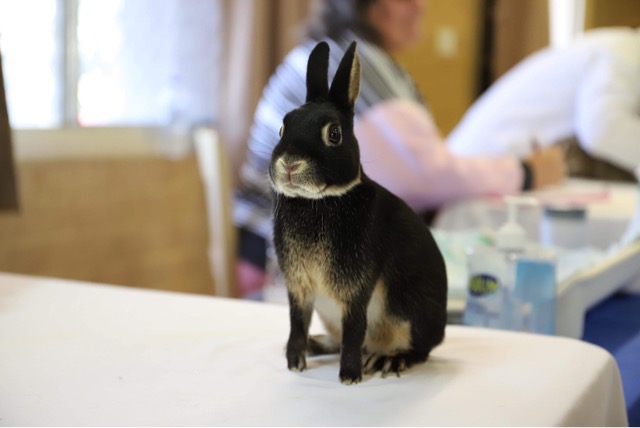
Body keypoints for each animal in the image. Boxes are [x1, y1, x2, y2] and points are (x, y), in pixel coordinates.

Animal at [268, 40, 448, 385]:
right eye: (283, 127)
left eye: (334, 134)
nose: (290, 164)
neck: (320, 200)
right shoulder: (300, 289)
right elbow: (297, 323)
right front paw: (294, 362)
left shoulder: (356, 291)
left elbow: (354, 330)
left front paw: (349, 377)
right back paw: (317, 345)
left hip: (408, 315)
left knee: (418, 350)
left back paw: (388, 361)